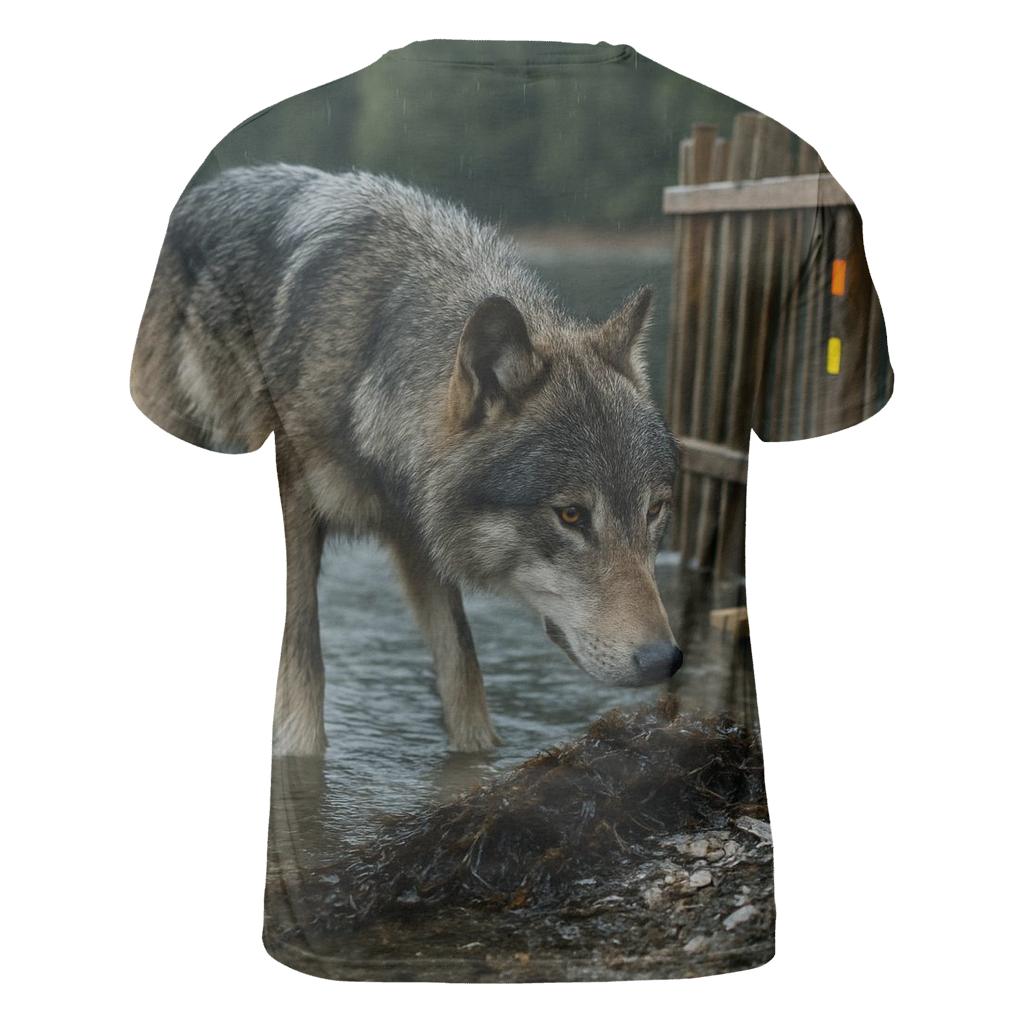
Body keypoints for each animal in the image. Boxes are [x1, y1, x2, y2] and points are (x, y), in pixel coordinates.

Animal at [133, 165, 683, 756]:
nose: (665, 660)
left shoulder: (419, 542)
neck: (367, 366)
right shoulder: (296, 524)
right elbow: (302, 685)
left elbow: (465, 679)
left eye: (654, 511)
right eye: (572, 516)